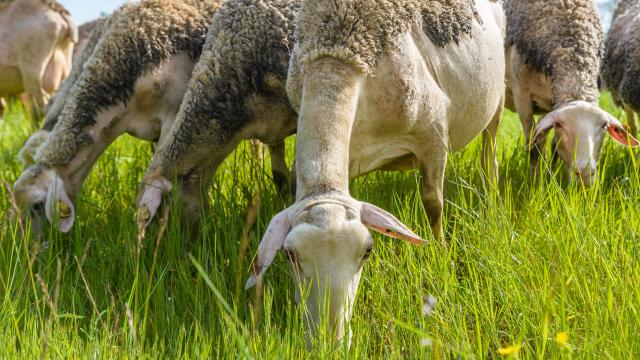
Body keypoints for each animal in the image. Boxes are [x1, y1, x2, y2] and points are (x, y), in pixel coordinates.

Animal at [248, 0, 508, 344]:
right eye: (290, 254)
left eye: (367, 252)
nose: (330, 341)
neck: (338, 53)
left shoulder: (434, 135)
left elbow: (433, 204)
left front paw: (439, 254)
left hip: (498, 98)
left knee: (489, 155)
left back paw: (490, 201)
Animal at [502, 0, 636, 186]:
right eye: (559, 125)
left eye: (604, 126)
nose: (585, 174)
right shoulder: (522, 96)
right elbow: (533, 148)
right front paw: (534, 183)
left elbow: (552, 146)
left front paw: (553, 176)